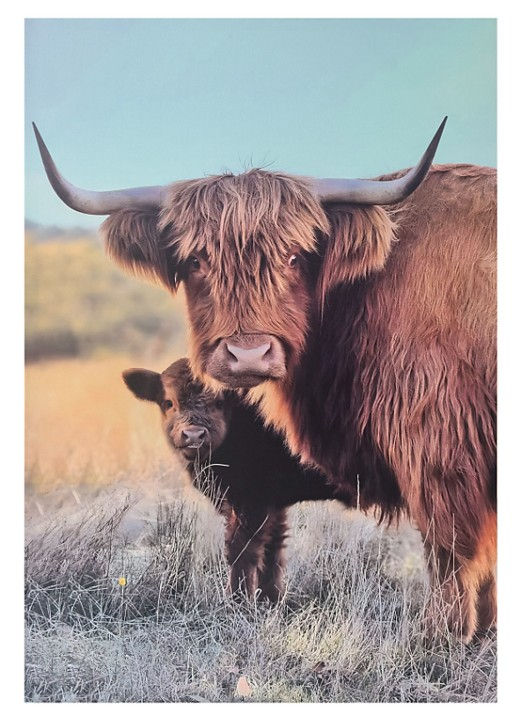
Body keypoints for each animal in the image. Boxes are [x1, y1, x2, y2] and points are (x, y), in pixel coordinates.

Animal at [122, 357, 347, 600]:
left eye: (220, 402)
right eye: (168, 402)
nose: (193, 435)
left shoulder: (250, 502)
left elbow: (241, 550)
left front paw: (237, 599)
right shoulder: (273, 504)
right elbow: (272, 549)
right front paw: (270, 598)